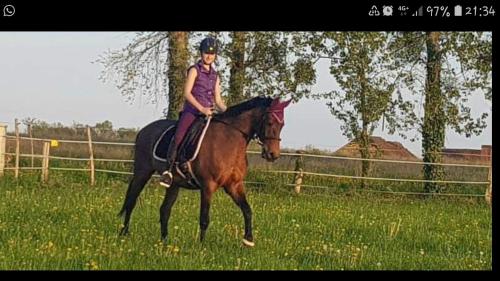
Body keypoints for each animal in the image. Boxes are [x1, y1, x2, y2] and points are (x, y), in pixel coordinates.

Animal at [118, 96, 292, 245]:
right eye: (269, 122)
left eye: (282, 125)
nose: (273, 154)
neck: (230, 140)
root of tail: (144, 130)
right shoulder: (208, 186)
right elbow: (204, 218)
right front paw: (201, 247)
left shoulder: (234, 185)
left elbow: (247, 210)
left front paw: (248, 240)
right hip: (142, 172)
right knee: (132, 201)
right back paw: (124, 233)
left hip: (174, 184)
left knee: (164, 210)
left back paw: (164, 241)